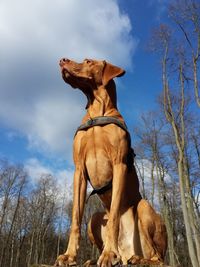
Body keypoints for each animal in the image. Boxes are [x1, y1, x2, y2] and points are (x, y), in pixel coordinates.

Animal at [54, 59, 167, 267]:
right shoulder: (79, 171)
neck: (97, 111)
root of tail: (127, 251)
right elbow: (75, 219)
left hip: (144, 207)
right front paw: (69, 255)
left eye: (88, 61)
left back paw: (137, 259)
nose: (62, 60)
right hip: (95, 218)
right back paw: (94, 260)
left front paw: (109, 253)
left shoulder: (119, 164)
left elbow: (114, 215)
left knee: (158, 257)